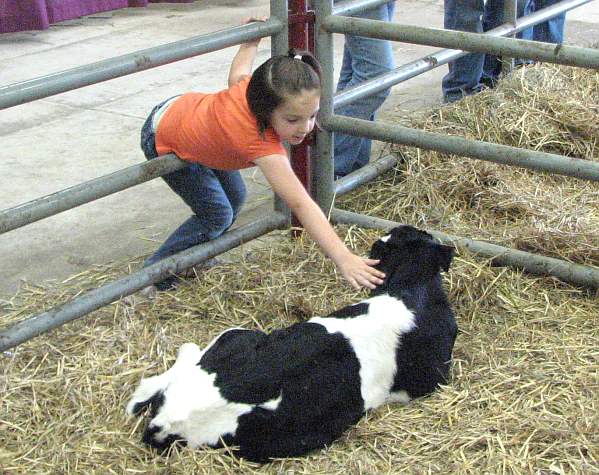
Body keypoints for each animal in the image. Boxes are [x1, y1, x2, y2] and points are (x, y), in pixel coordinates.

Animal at [126, 225, 460, 462]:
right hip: (244, 338)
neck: (409, 290)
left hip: (234, 341)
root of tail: (166, 421)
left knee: (148, 385)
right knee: (184, 356)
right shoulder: (429, 381)